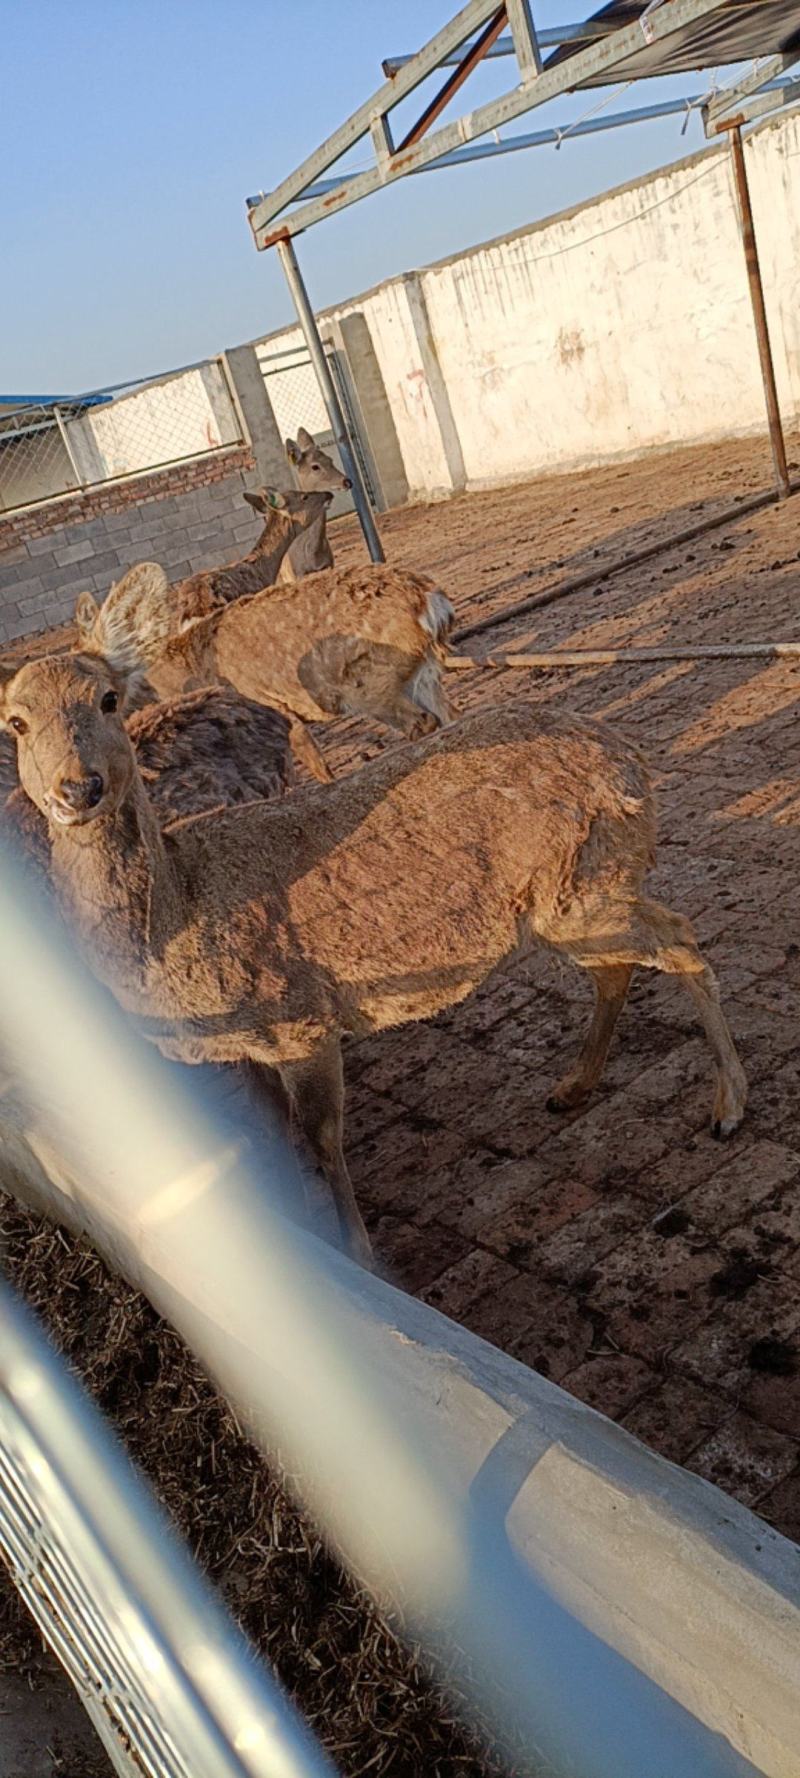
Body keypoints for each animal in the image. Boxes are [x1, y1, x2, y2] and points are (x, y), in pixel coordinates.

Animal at [0, 644, 748, 1268]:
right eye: (16, 721)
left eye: (107, 699)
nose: (79, 789)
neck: (178, 917)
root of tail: (628, 758)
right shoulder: (244, 1048)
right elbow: (274, 1138)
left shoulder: (302, 1020)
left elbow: (320, 1137)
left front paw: (359, 1253)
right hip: (568, 901)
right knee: (619, 966)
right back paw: (573, 1085)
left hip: (586, 885)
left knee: (680, 938)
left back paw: (728, 1105)